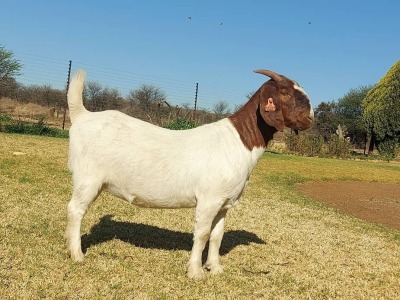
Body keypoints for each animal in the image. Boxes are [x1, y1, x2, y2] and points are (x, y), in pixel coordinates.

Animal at [65, 69, 314, 280]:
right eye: (285, 92)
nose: (310, 118)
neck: (238, 141)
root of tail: (82, 116)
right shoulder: (209, 199)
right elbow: (202, 234)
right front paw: (195, 272)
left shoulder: (224, 203)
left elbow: (217, 235)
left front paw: (215, 268)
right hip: (88, 178)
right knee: (75, 209)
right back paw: (76, 254)